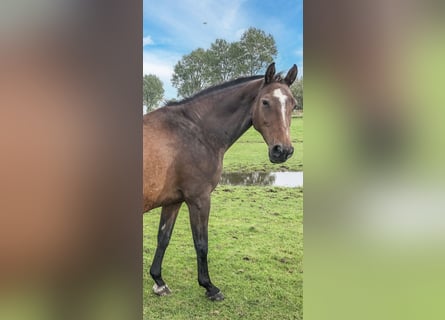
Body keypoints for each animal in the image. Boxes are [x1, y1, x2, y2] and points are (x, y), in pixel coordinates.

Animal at [144, 62, 296, 300]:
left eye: (293, 104)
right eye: (265, 102)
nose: (283, 151)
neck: (197, 131)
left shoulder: (173, 201)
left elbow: (163, 237)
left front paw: (159, 281)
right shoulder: (199, 199)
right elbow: (201, 244)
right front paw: (209, 287)